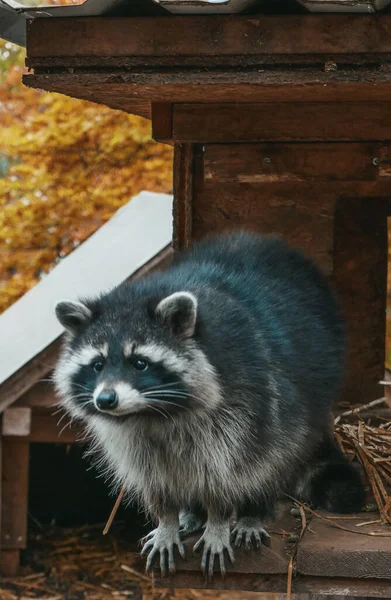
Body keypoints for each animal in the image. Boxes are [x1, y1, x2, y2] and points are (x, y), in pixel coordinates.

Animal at [53, 230, 366, 576]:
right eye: (97, 365)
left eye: (139, 363)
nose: (106, 400)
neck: (152, 413)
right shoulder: (131, 439)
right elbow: (154, 479)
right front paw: (168, 519)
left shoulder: (242, 401)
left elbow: (227, 472)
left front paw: (219, 519)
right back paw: (191, 514)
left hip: (306, 392)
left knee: (272, 454)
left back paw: (252, 510)